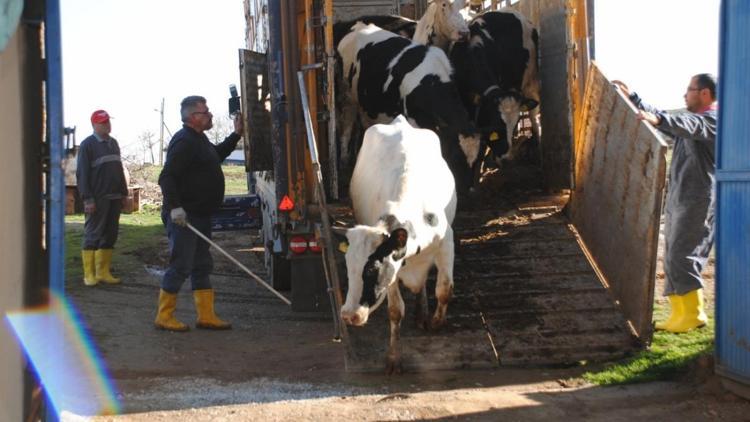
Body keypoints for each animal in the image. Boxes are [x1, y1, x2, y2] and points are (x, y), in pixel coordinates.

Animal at [340, 22, 484, 195]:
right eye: (456, 158)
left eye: (477, 161)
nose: (468, 190)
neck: (431, 82)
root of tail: (359, 25)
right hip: (348, 99)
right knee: (346, 129)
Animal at [342, 114, 458, 372]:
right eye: (347, 268)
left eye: (371, 269)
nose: (348, 315)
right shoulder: (394, 269)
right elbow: (395, 311)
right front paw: (394, 358)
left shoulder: (447, 243)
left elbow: (444, 289)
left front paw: (437, 322)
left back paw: (423, 313)